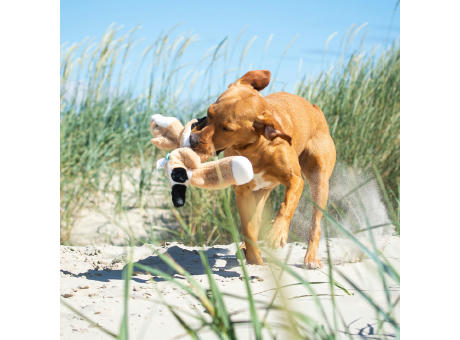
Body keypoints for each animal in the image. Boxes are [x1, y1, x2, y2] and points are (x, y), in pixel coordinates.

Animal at [189, 71, 336, 268]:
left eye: (227, 128)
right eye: (208, 113)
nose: (193, 140)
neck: (254, 149)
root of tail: (315, 109)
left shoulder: (295, 180)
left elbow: (286, 205)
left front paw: (277, 233)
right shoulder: (243, 191)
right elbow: (248, 228)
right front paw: (254, 258)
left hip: (319, 182)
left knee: (316, 224)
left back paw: (311, 257)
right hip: (261, 191)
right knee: (254, 222)